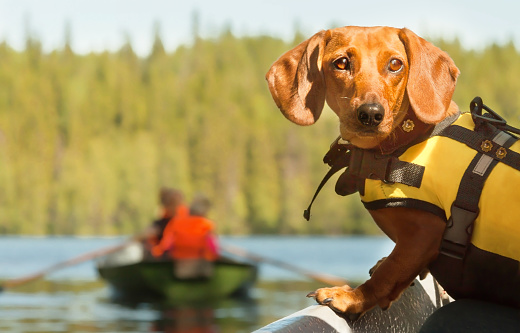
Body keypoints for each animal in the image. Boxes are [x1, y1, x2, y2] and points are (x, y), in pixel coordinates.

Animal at [266, 25, 462, 314]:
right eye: (341, 63)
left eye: (395, 64)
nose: (370, 114)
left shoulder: (424, 234)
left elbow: (388, 273)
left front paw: (351, 296)